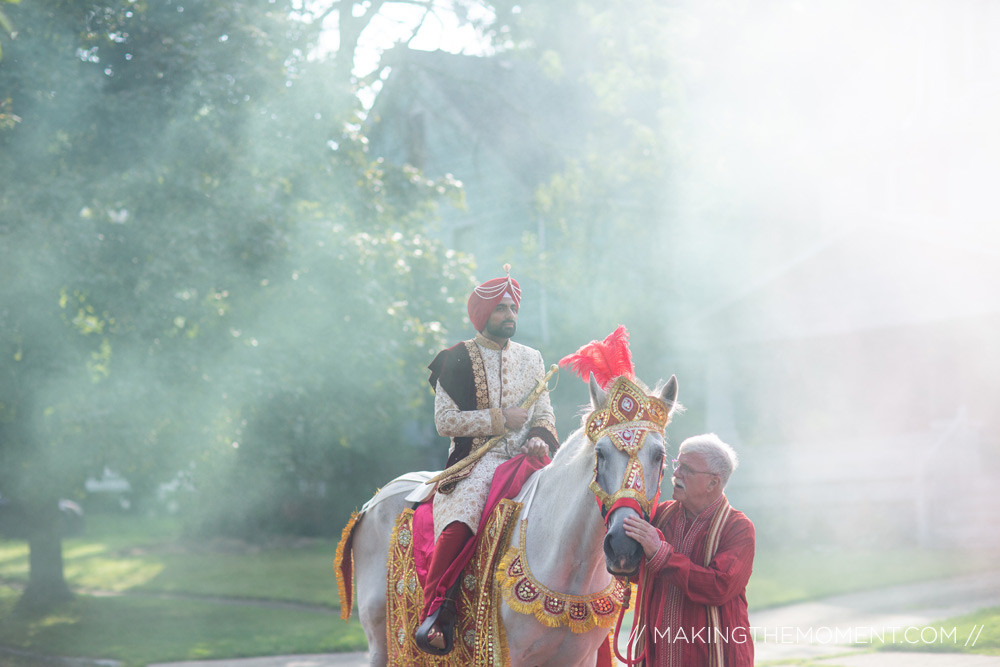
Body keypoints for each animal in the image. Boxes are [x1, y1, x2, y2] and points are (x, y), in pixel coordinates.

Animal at [340, 376, 676, 667]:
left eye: (659, 455)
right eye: (601, 453)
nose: (623, 546)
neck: (569, 568)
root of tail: (372, 503)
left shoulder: (578, 658)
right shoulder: (507, 654)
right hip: (379, 637)